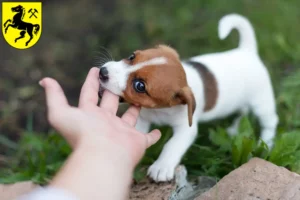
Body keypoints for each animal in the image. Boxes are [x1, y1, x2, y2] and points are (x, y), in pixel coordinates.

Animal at [99, 13, 278, 183]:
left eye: (139, 86)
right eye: (131, 57)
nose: (102, 72)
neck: (161, 110)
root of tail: (247, 51)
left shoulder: (186, 129)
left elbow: (172, 145)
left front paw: (162, 166)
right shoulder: (143, 118)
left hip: (261, 102)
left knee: (270, 120)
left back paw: (266, 142)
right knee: (243, 111)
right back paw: (235, 128)